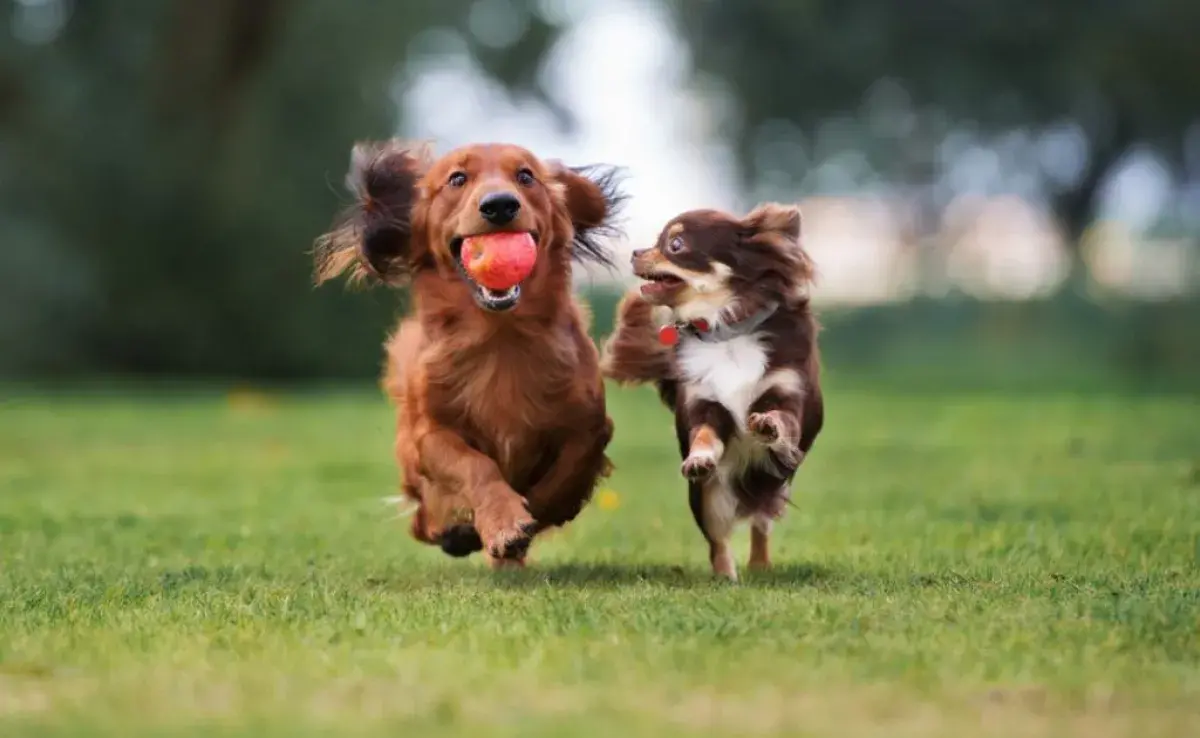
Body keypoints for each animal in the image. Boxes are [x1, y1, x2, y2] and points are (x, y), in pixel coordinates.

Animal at [604, 205, 820, 580]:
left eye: (675, 245)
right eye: (657, 240)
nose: (635, 252)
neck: (726, 332)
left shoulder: (788, 393)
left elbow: (783, 419)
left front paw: (768, 425)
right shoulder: (704, 404)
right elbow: (704, 435)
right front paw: (700, 458)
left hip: (775, 483)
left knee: (761, 522)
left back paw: (759, 566)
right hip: (707, 497)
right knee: (718, 540)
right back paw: (725, 577)